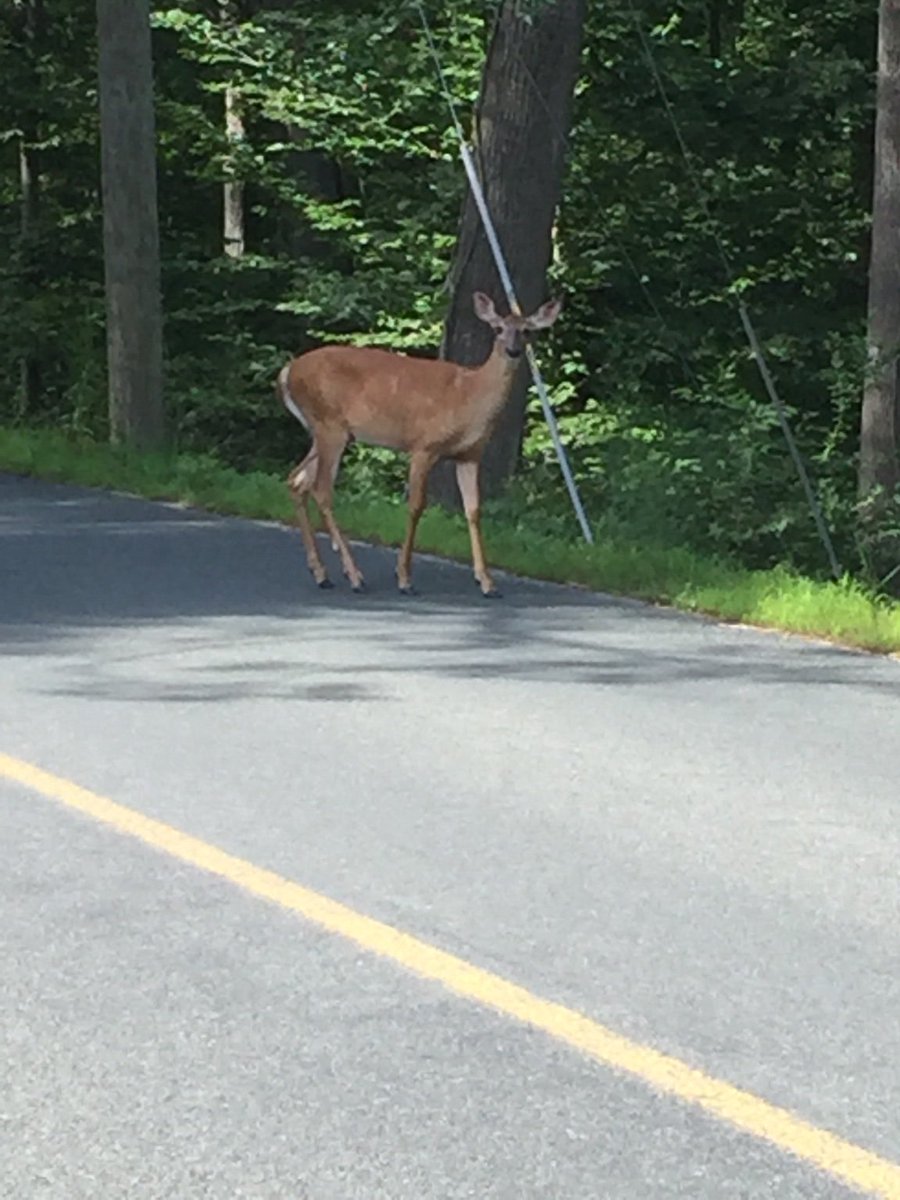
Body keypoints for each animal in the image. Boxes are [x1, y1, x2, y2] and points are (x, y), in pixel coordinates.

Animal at [276, 291, 562, 598]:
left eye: (527, 331)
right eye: (498, 328)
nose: (513, 351)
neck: (470, 397)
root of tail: (288, 371)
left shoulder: (470, 455)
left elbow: (473, 510)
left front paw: (487, 582)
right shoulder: (424, 445)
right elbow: (416, 506)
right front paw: (404, 578)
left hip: (323, 431)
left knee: (297, 480)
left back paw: (321, 573)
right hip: (331, 426)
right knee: (321, 489)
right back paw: (353, 575)